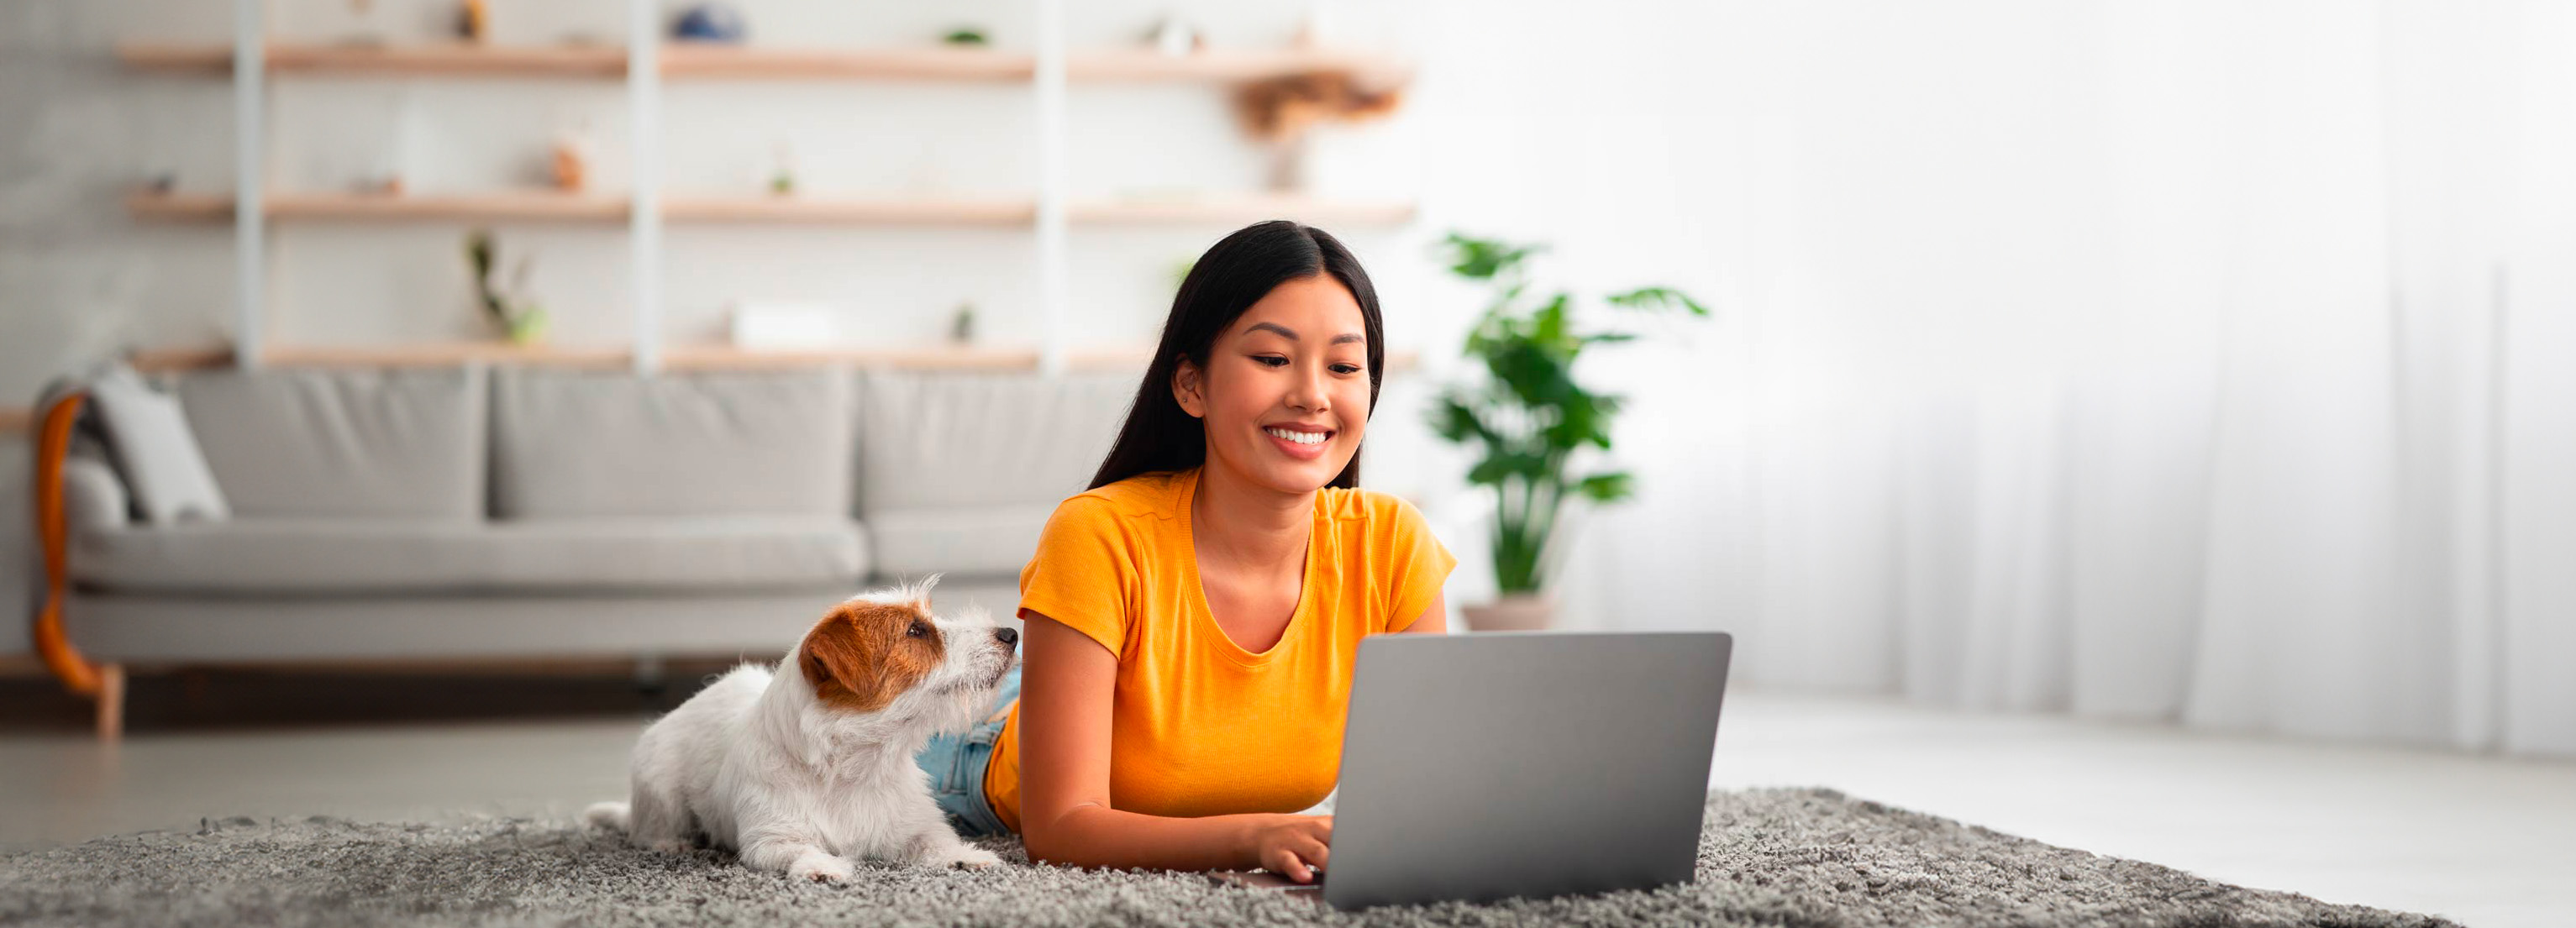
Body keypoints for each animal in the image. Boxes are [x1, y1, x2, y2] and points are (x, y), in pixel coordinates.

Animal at [590, 577, 1020, 881]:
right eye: (915, 630)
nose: (1011, 634)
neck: (856, 766)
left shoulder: (915, 824)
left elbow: (936, 840)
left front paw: (965, 856)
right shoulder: (771, 838)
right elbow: (799, 849)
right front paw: (822, 867)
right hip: (660, 787)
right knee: (648, 829)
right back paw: (671, 843)